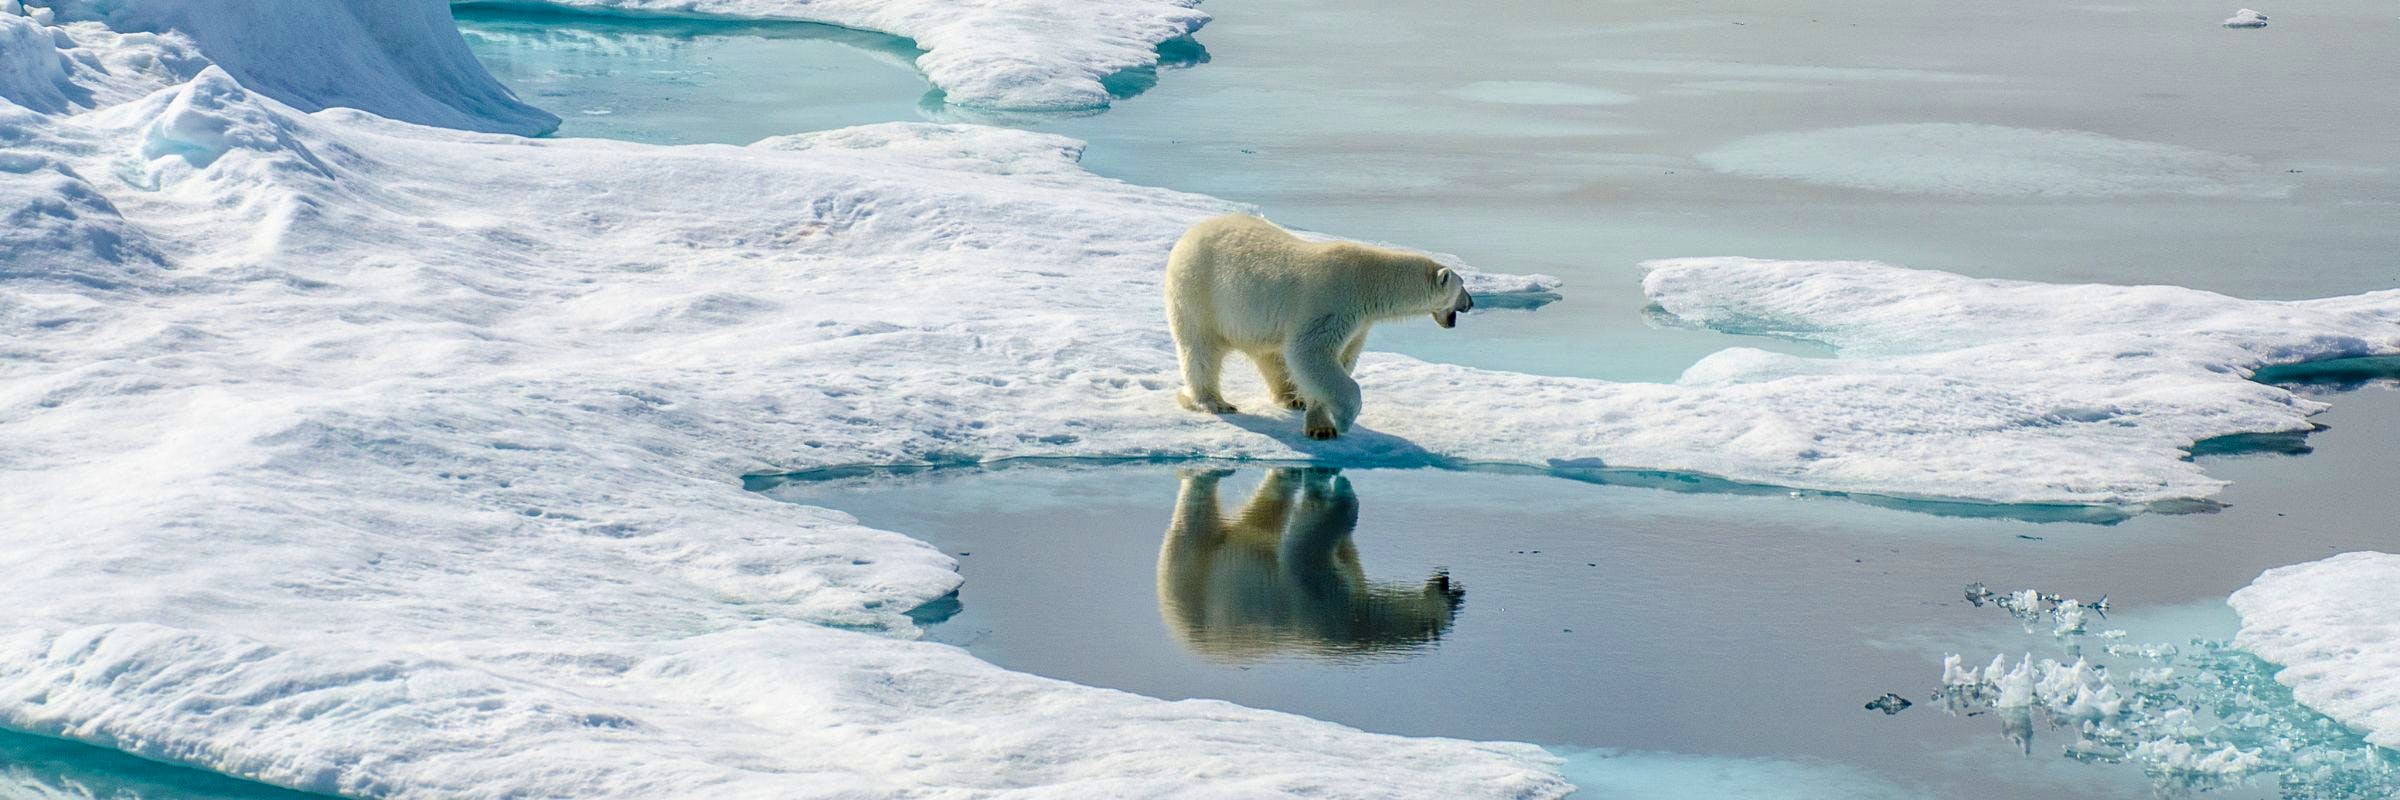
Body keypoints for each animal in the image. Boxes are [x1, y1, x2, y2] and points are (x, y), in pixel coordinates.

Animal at [1155, 468, 1464, 663]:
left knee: (1265, 513)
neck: (1360, 620)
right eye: (1452, 608)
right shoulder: (1326, 607)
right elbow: (1304, 544)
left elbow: (1333, 550)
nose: (1458, 589)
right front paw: (1340, 493)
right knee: (1195, 516)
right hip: (1194, 575)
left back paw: (1284, 478)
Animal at [1163, 214, 1474, 439]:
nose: (1471, 302)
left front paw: (1318, 423)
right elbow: (1311, 354)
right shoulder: (1332, 304)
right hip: (1199, 293)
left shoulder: (1359, 323)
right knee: (1200, 349)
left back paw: (1291, 398)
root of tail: (1191, 233)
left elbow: (1340, 360)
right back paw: (1214, 402)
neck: (1368, 283)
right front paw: (1344, 420)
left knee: (1270, 354)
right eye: (1462, 286)